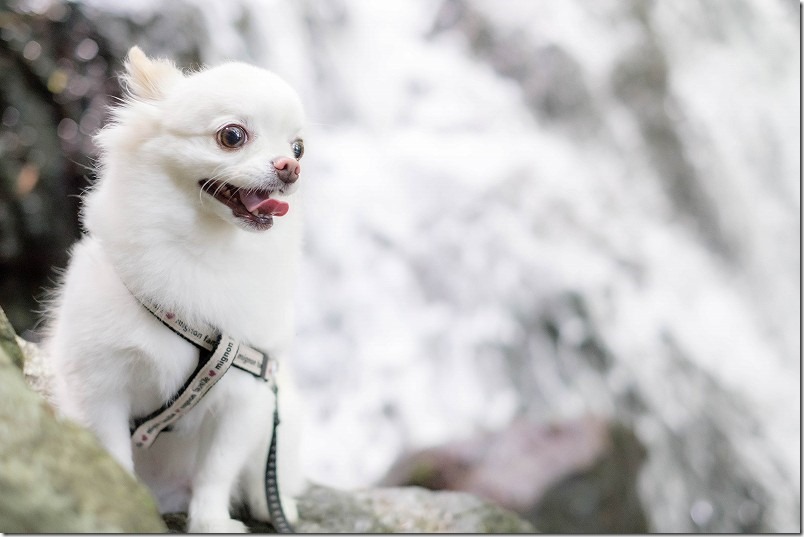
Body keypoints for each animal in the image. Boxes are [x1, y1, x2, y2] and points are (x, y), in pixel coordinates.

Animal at [45, 47, 308, 532]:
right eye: (232, 136)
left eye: (298, 147)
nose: (291, 167)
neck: (206, 251)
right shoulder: (100, 385)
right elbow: (113, 456)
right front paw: (123, 504)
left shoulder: (243, 397)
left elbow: (216, 472)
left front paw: (212, 522)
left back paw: (272, 502)